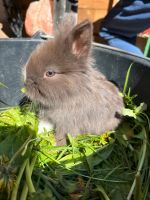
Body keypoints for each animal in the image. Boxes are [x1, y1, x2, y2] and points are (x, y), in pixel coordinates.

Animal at [23, 14, 124, 145]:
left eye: (50, 73)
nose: (26, 84)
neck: (68, 96)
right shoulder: (48, 117)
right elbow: (44, 126)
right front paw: (37, 136)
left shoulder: (67, 125)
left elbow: (60, 137)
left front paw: (56, 147)